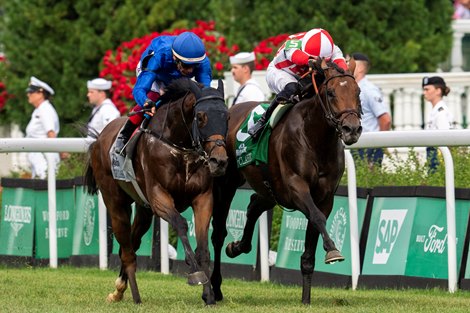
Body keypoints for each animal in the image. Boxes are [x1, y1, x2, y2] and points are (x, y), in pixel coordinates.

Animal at [85, 77, 230, 304]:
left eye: (227, 116)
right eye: (200, 117)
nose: (219, 161)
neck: (180, 148)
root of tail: (98, 139)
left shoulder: (203, 198)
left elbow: (203, 247)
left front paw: (209, 295)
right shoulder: (159, 197)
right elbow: (180, 223)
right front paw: (195, 274)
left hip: (143, 210)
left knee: (132, 243)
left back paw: (119, 289)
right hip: (115, 203)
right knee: (127, 250)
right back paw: (134, 296)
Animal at [211, 58, 362, 302]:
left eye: (357, 92)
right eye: (330, 93)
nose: (352, 129)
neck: (315, 138)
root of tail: (230, 109)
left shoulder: (325, 197)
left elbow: (312, 242)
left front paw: (306, 300)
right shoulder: (296, 188)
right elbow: (317, 218)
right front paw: (332, 250)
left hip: (270, 189)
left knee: (253, 205)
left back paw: (237, 247)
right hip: (226, 183)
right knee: (218, 233)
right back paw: (215, 287)